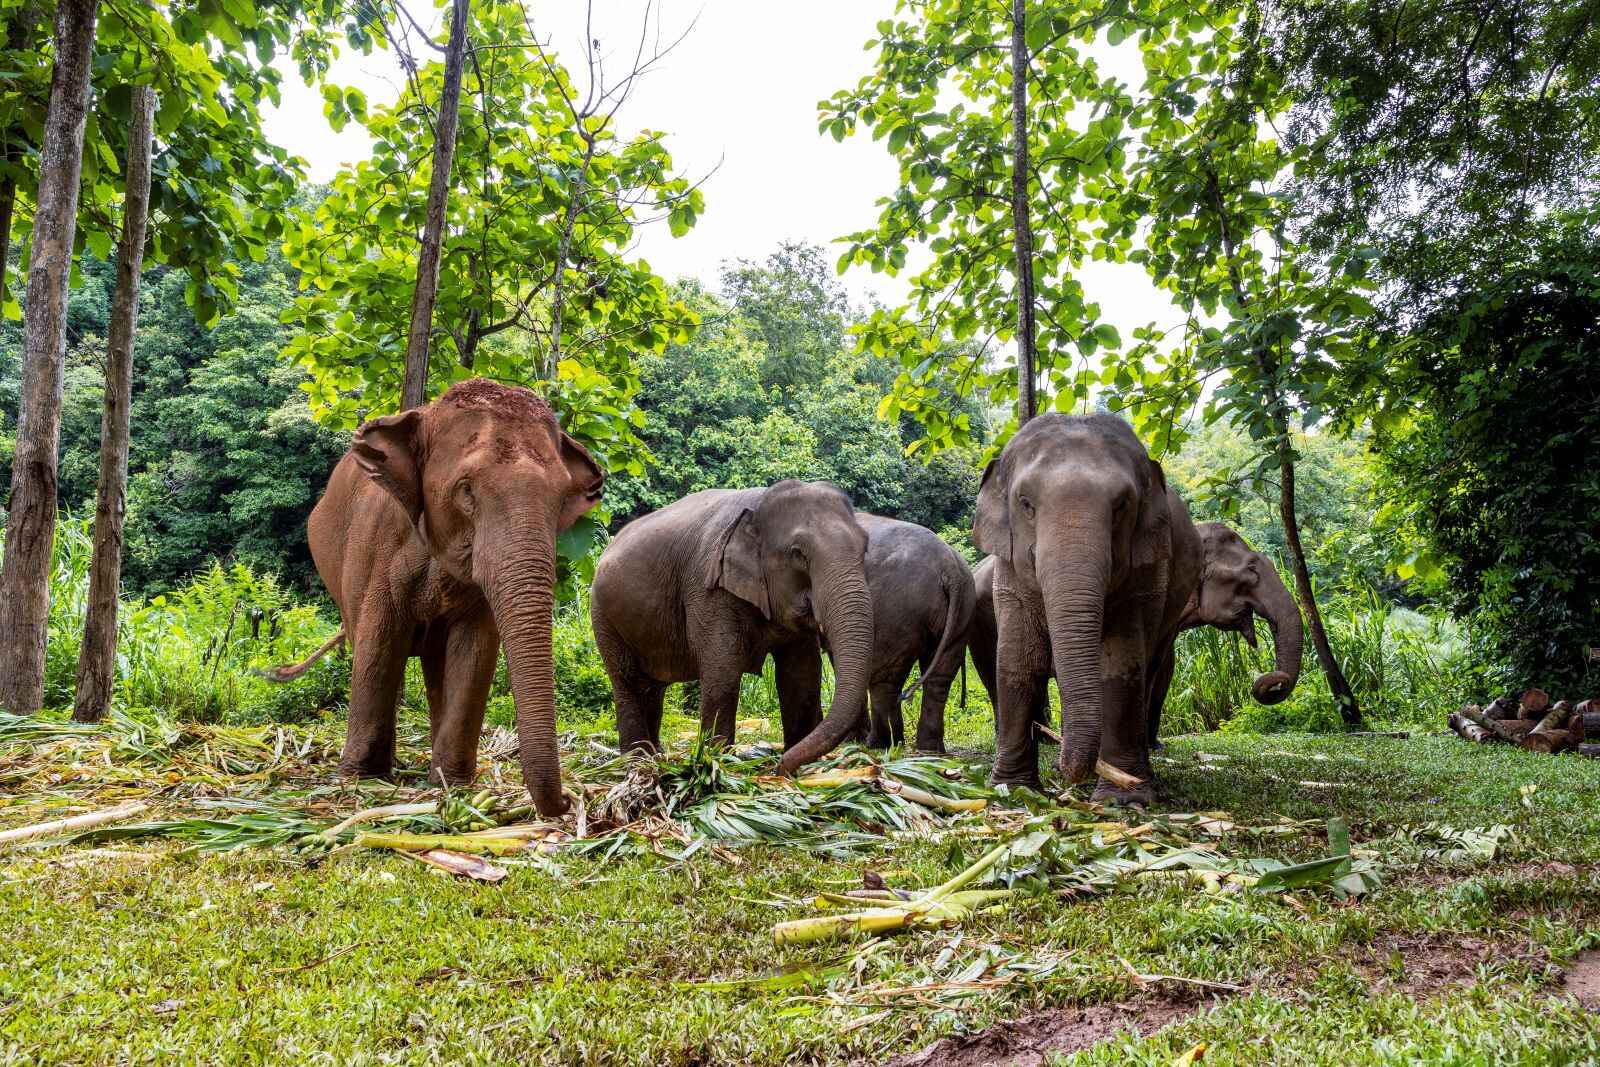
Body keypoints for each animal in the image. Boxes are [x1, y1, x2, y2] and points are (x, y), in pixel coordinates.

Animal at [297, 382, 601, 819]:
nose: (569, 801)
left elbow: (474, 652)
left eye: (562, 498)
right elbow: (378, 643)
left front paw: (452, 784)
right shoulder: (377, 544)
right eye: (466, 489)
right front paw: (358, 779)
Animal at [592, 483, 876, 777]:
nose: (777, 766)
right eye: (798, 553)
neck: (759, 503)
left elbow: (802, 672)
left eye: (864, 549)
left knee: (653, 686)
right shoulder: (708, 588)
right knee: (628, 681)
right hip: (603, 616)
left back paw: (656, 755)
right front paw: (715, 762)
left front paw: (799, 766)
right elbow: (723, 669)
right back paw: (637, 761)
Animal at [851, 515, 972, 751]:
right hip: (962, 611)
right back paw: (926, 747)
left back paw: (879, 743)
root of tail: (949, 566)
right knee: (939, 676)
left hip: (895, 610)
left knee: (883, 678)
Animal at [960, 412, 1203, 796]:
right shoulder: (1009, 573)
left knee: (1149, 669)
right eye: (1025, 504)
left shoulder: (1146, 575)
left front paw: (1124, 798)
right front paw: (1013, 789)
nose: (1064, 770)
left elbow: (1120, 665)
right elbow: (1017, 661)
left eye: (1122, 505)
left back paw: (1143, 775)